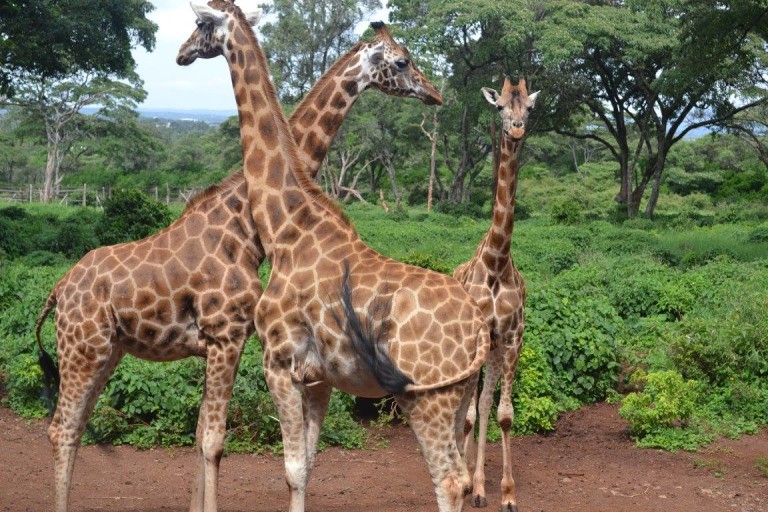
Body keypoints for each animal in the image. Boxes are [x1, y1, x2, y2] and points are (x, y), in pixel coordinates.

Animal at [35, 13, 444, 512]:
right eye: (402, 61)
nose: (434, 93)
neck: (245, 225)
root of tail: (58, 290)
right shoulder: (226, 333)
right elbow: (213, 441)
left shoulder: (221, 341)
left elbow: (200, 437)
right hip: (83, 346)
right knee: (61, 429)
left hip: (107, 349)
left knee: (73, 426)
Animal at [176, 1, 490, 511]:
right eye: (403, 60)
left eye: (201, 24)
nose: (182, 54)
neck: (286, 227)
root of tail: (480, 329)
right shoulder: (319, 378)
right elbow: (306, 468)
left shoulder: (278, 363)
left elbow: (290, 467)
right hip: (461, 392)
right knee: (459, 473)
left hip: (428, 397)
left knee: (449, 480)